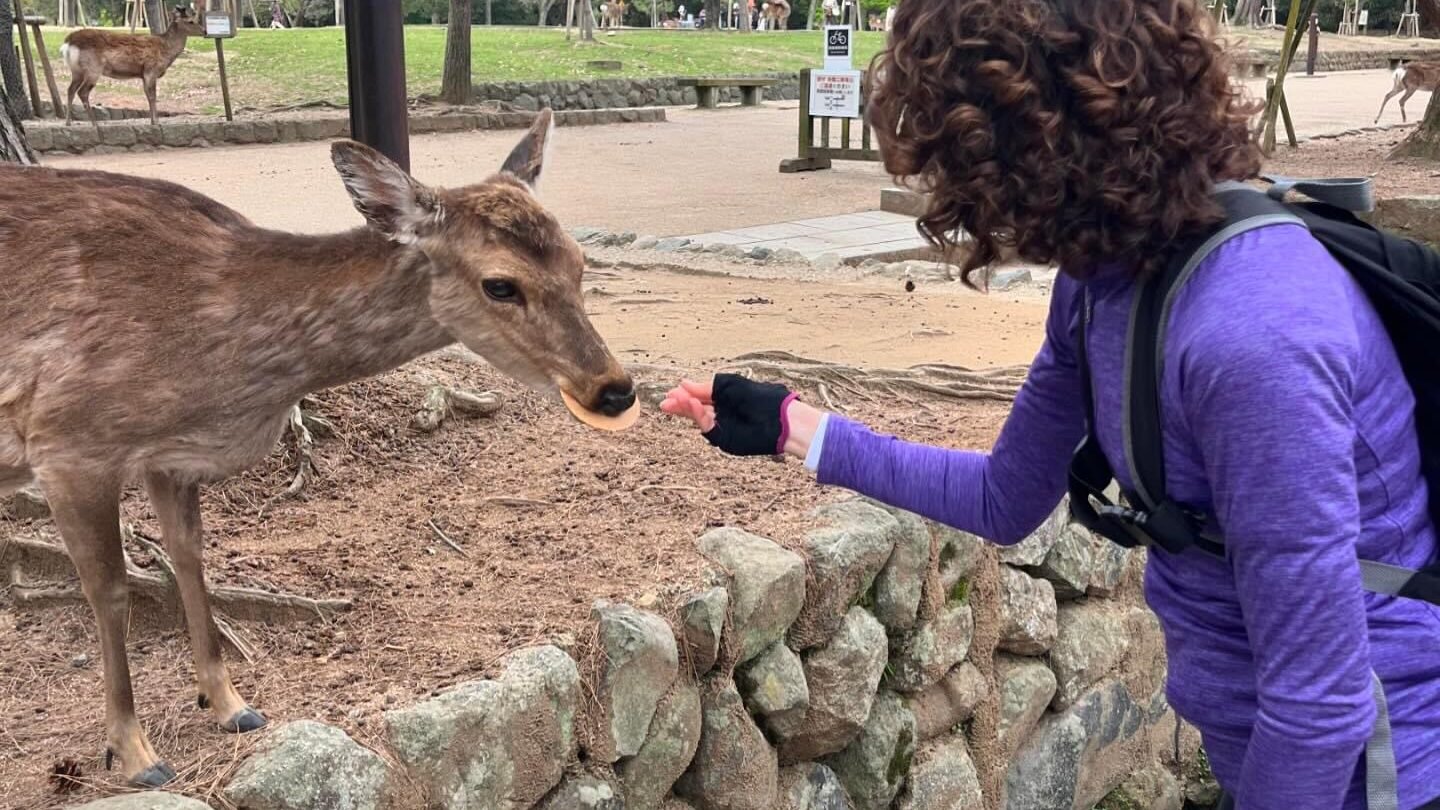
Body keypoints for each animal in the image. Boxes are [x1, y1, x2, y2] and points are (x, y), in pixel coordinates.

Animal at [0, 111, 637, 788]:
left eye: (579, 262)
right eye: (500, 284)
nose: (614, 389)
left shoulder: (171, 457)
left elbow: (190, 559)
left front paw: (232, 705)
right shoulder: (68, 442)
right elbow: (111, 590)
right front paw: (136, 754)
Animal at [61, 6, 205, 128]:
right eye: (191, 21)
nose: (204, 31)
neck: (166, 51)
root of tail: (67, 44)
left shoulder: (143, 75)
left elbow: (147, 95)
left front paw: (152, 121)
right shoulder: (151, 70)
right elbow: (153, 96)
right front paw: (157, 122)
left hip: (76, 71)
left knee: (70, 90)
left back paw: (68, 122)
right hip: (93, 69)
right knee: (82, 92)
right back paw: (94, 123)